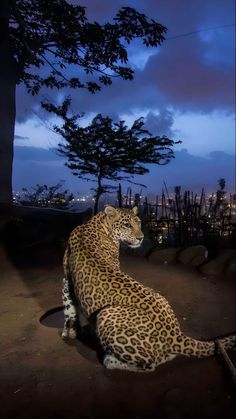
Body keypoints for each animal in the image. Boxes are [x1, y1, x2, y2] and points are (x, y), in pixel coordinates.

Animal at [61, 205, 236, 372]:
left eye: (138, 223)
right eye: (127, 225)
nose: (141, 238)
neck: (98, 224)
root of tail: (176, 334)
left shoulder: (67, 279)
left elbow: (69, 307)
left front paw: (71, 331)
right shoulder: (67, 279)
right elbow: (70, 307)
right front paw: (72, 331)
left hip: (106, 314)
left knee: (149, 364)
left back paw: (110, 361)